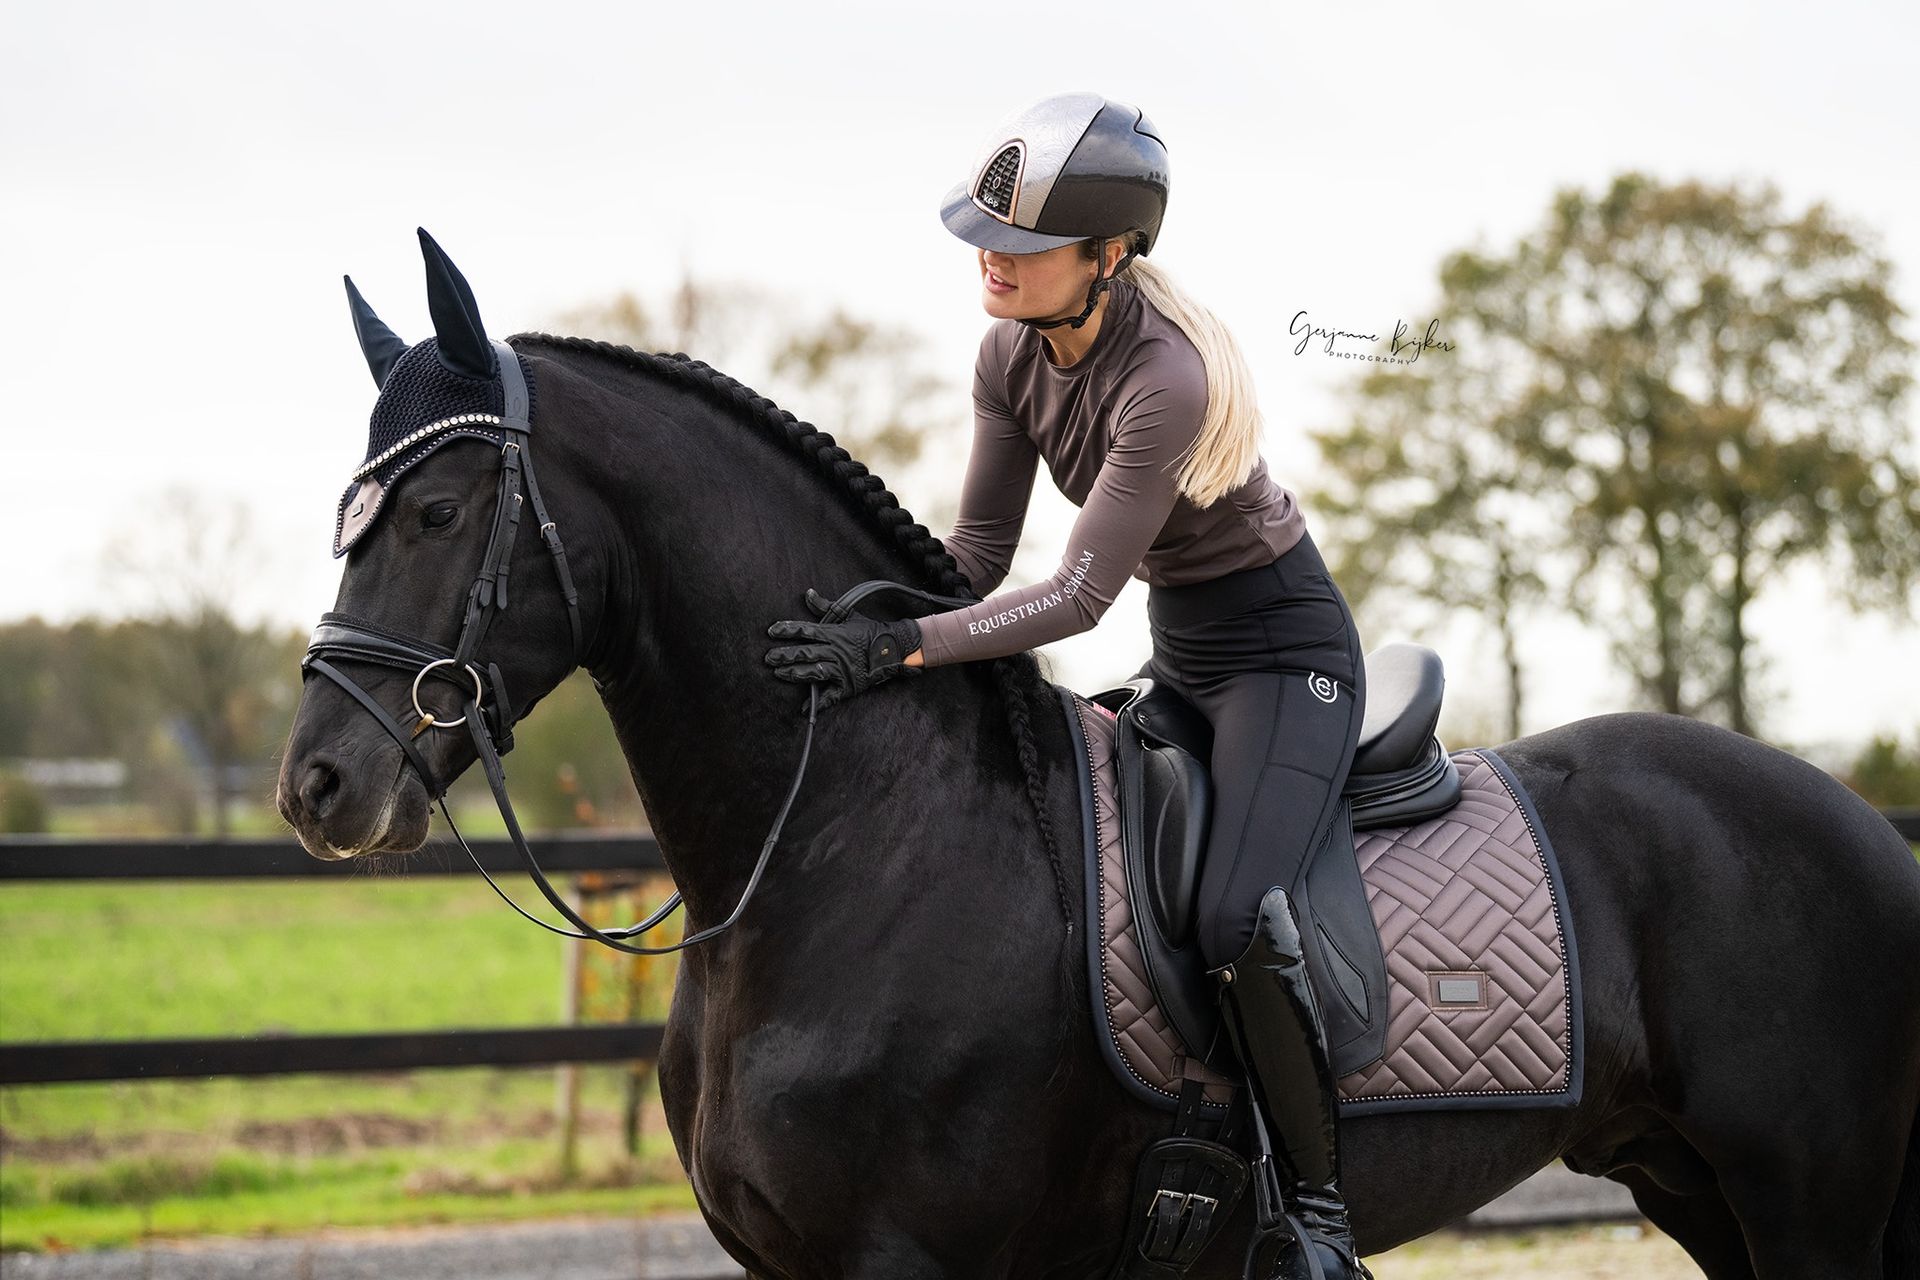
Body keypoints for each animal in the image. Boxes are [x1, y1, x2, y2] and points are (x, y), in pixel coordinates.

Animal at [278, 244, 1920, 1279]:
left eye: (435, 512)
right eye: (346, 509)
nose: (317, 788)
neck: (849, 844)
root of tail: (1857, 823)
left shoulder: (907, 1257)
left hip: (1815, 1208)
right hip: (1695, 1185)